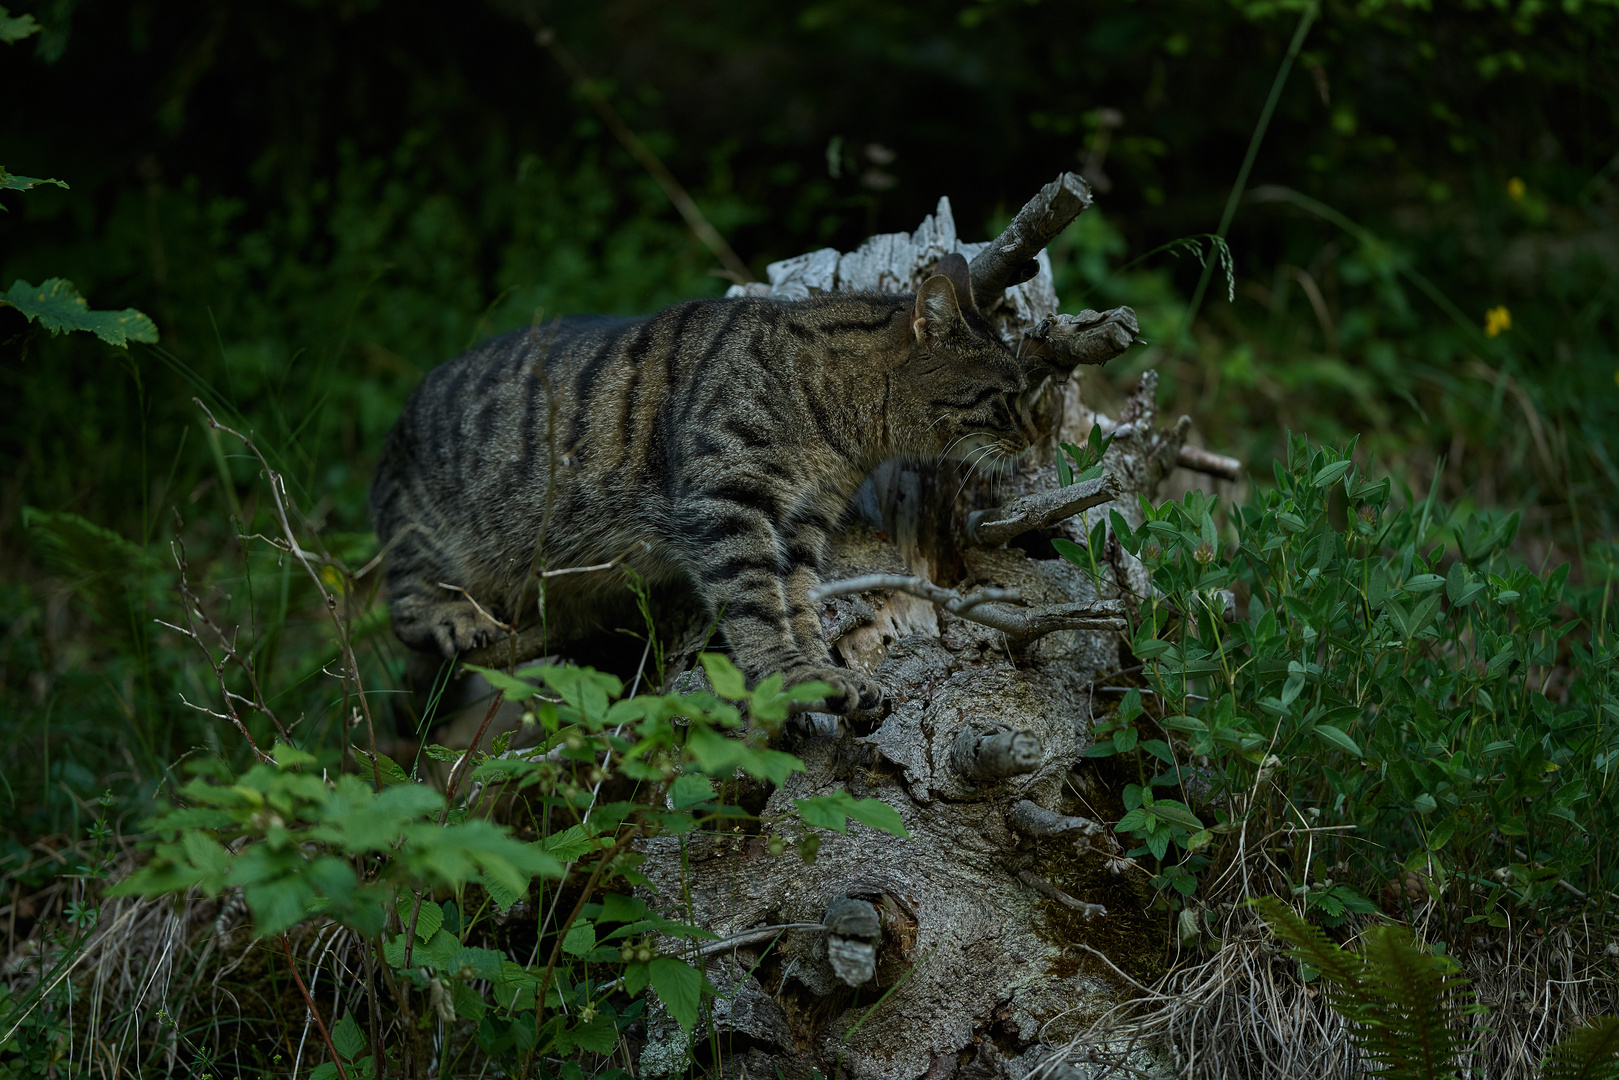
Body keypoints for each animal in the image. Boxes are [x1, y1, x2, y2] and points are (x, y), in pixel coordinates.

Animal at [369, 249, 1055, 712]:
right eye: (1007, 398)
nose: (1031, 436)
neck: (839, 430)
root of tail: (395, 423)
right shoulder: (728, 501)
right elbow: (755, 601)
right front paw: (793, 673)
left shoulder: (803, 521)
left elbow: (797, 600)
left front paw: (820, 662)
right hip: (426, 533)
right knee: (402, 603)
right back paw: (453, 616)